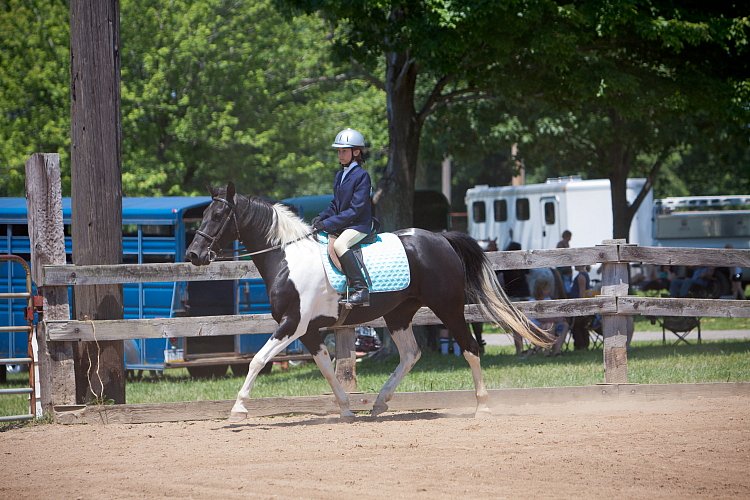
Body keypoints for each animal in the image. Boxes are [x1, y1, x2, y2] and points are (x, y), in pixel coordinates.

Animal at [185, 182, 556, 420]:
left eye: (217, 216)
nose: (193, 254)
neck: (288, 258)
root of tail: (441, 238)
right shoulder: (309, 331)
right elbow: (326, 369)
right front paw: (347, 409)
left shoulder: (292, 325)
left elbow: (258, 361)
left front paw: (238, 408)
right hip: (399, 314)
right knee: (411, 354)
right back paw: (379, 403)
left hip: (448, 308)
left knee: (470, 348)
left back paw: (482, 406)